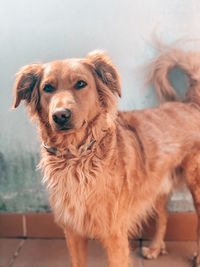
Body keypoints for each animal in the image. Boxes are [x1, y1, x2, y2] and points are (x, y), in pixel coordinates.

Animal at [12, 49, 200, 266]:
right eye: (47, 88)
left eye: (81, 84)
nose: (60, 115)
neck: (76, 156)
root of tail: (190, 104)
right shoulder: (73, 233)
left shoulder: (115, 237)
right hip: (156, 185)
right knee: (163, 217)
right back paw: (155, 248)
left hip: (195, 186)